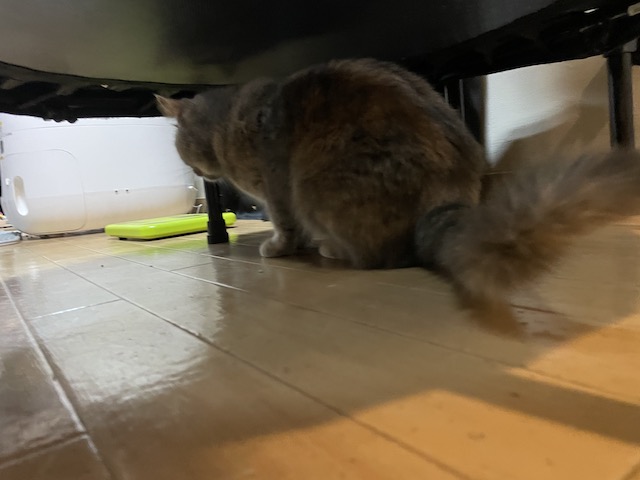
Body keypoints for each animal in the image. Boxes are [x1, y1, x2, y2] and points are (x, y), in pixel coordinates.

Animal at [156, 58, 640, 318]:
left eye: (179, 145)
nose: (195, 170)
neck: (229, 124)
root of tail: (446, 201)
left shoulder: (276, 189)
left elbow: (283, 224)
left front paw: (278, 247)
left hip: (312, 182)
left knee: (376, 256)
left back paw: (331, 248)